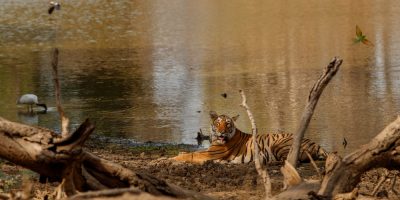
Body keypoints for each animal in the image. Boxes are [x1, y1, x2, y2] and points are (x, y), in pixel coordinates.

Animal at [173, 111, 328, 164]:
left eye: (227, 124)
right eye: (218, 123)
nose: (222, 132)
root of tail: (316, 143)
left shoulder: (211, 153)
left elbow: (192, 155)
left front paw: (172, 158)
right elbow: (191, 152)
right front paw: (180, 152)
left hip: (278, 144)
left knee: (291, 160)